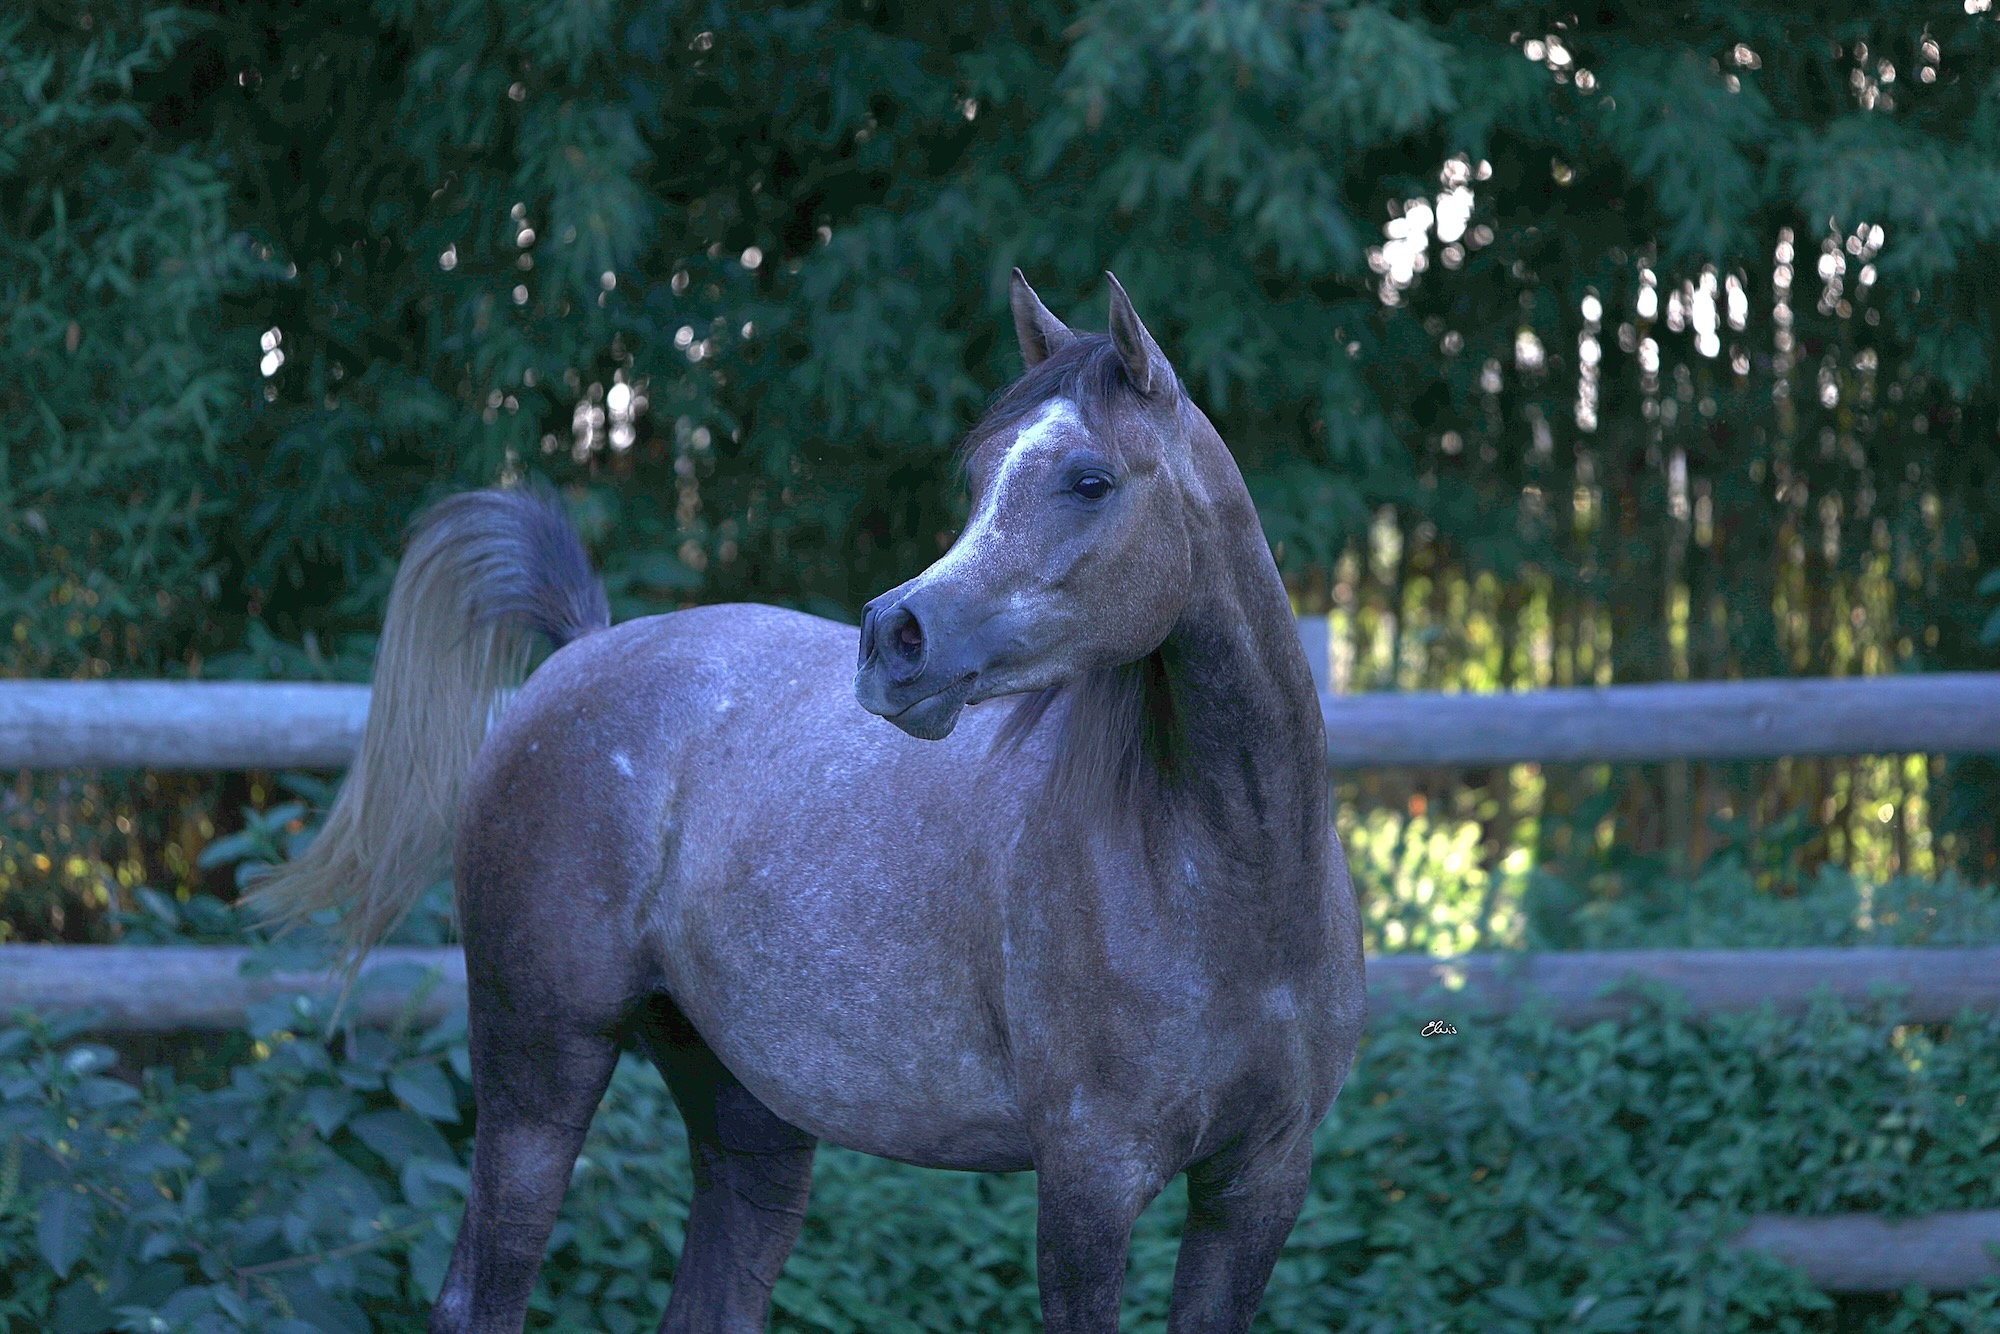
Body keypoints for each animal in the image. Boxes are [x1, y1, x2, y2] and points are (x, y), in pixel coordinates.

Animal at [252, 271, 1366, 1333]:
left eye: (1088, 481)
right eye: (976, 476)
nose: (894, 638)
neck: (1226, 879)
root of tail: (581, 648)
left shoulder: (1258, 1184)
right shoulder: (1089, 1183)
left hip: (743, 1110)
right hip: (539, 1069)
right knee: (482, 1295)